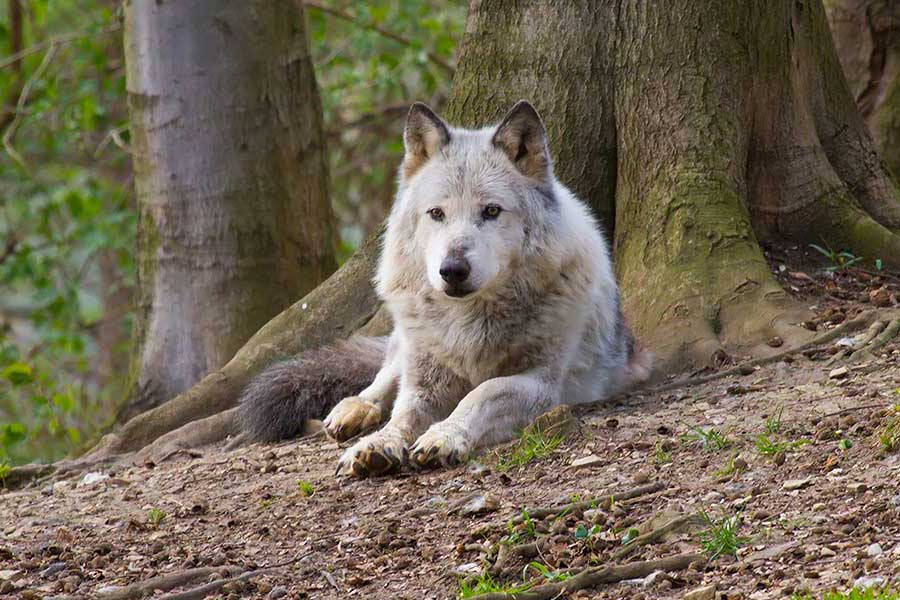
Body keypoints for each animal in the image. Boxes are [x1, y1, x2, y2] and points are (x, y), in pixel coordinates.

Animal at [236, 101, 652, 476]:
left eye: (491, 211)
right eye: (437, 213)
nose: (452, 270)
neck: (470, 322)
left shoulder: (541, 383)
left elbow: (481, 393)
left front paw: (445, 436)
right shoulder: (424, 381)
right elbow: (403, 413)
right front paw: (378, 444)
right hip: (407, 343)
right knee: (383, 378)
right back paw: (353, 411)